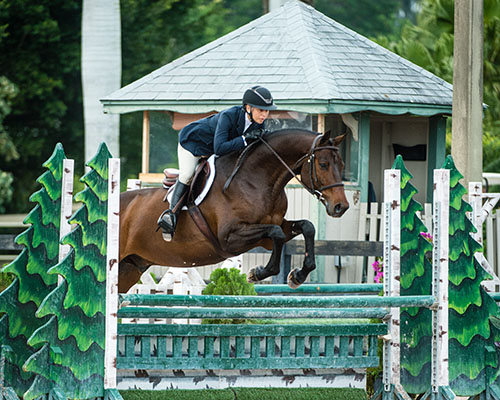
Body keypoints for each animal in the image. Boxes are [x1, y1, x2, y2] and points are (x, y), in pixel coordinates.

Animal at [119, 130, 350, 292]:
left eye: (342, 165)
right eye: (323, 164)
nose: (341, 207)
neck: (258, 180)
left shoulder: (268, 234)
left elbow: (306, 227)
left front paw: (297, 276)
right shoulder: (229, 238)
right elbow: (275, 232)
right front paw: (257, 273)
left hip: (130, 267)